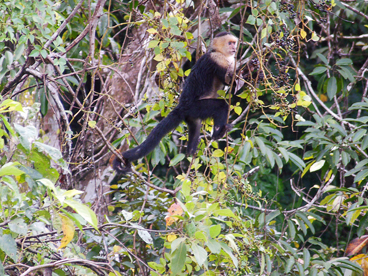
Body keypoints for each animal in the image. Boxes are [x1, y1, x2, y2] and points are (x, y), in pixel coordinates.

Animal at [113, 32, 239, 174]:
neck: (220, 53)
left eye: (234, 43)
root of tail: (181, 106)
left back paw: (191, 155)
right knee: (221, 106)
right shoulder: (217, 59)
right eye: (230, 43)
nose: (234, 48)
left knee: (195, 128)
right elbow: (230, 81)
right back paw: (218, 134)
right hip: (195, 107)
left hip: (192, 115)